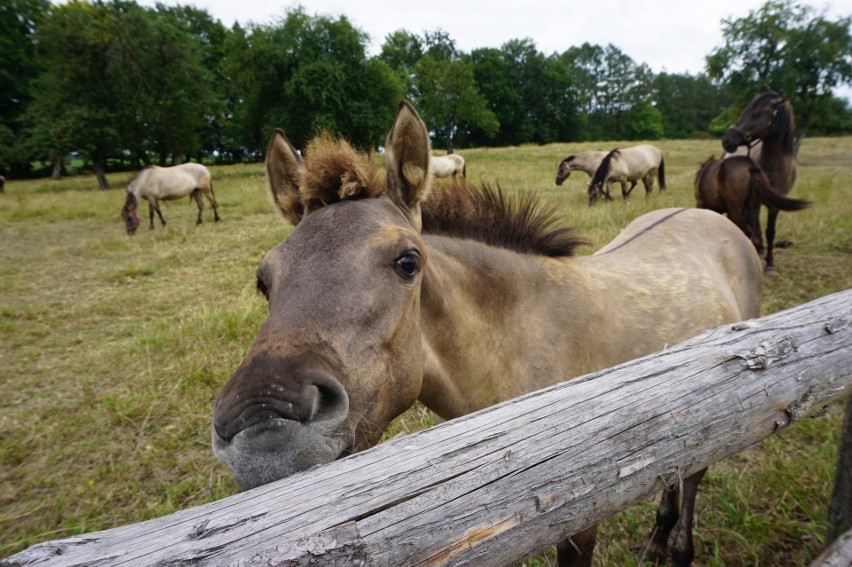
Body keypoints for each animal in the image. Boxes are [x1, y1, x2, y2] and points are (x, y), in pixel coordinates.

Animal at [211, 101, 760, 567]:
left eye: (407, 261)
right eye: (264, 279)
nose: (259, 424)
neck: (519, 344)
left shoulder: (583, 514)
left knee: (693, 475)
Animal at [696, 92, 808, 276]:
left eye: (757, 113)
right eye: (745, 110)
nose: (727, 140)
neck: (773, 167)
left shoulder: (774, 205)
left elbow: (770, 232)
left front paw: (770, 264)